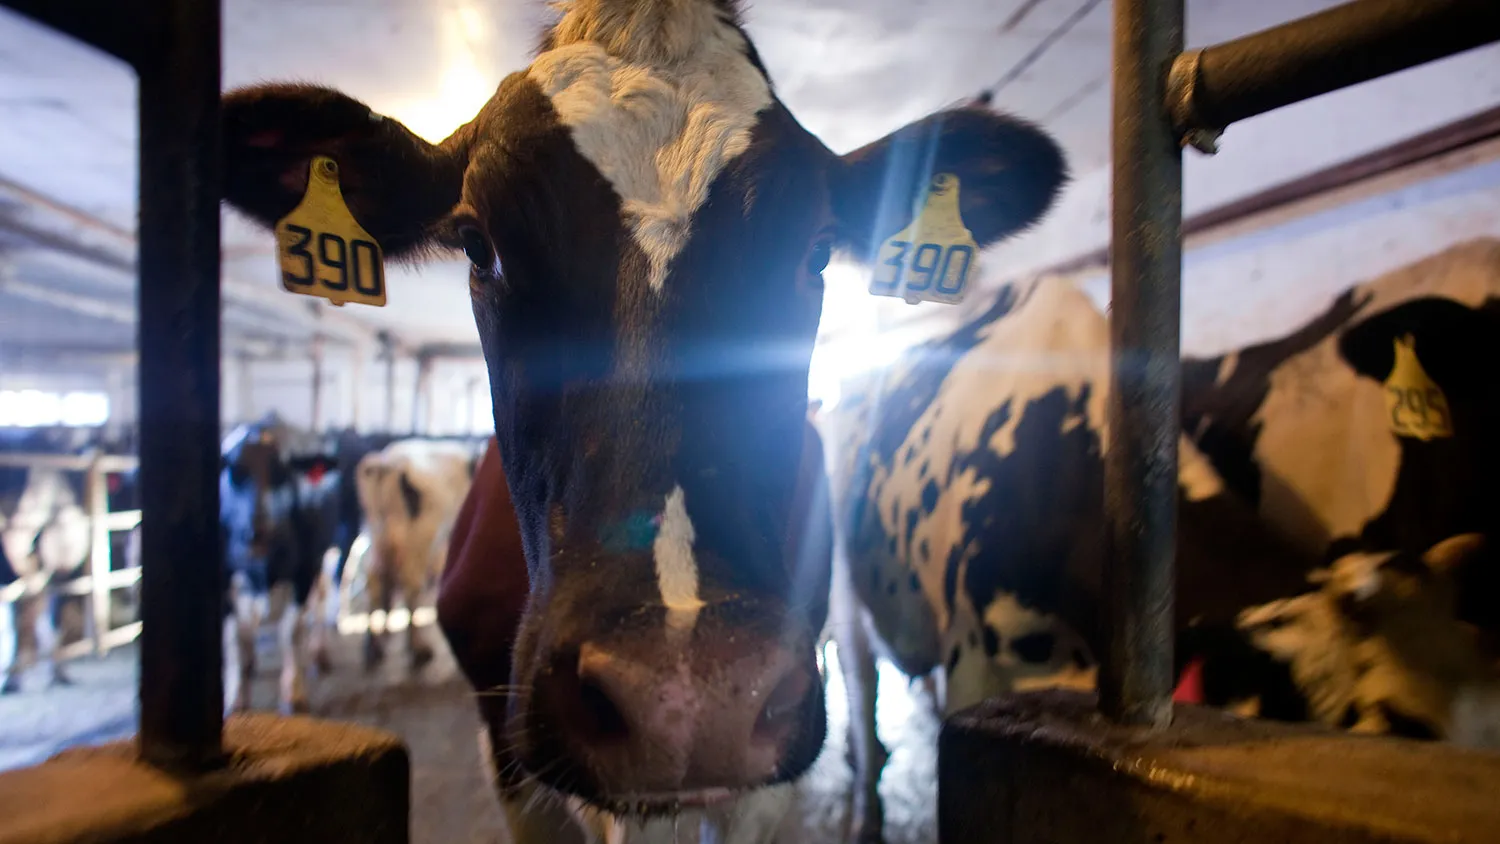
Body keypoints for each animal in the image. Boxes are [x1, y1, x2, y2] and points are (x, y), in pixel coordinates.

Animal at [219, 416, 340, 715]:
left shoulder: (303, 570)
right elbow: (234, 637)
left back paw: (319, 652)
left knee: (321, 599)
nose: (258, 533)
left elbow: (291, 631)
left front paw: (293, 693)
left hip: (323, 557)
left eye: (282, 474)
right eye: (235, 472)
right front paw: (235, 697)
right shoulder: (222, 574)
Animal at [354, 437, 477, 671]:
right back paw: (419, 650)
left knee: (376, 584)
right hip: (418, 541)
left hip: (377, 536)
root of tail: (388, 463)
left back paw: (374, 648)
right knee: (410, 585)